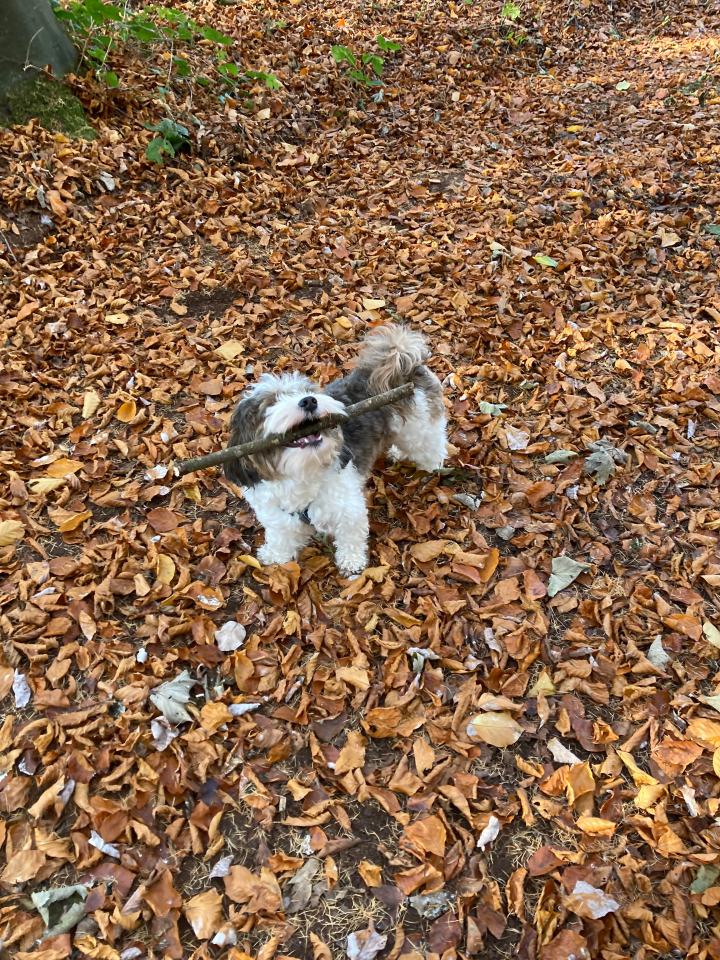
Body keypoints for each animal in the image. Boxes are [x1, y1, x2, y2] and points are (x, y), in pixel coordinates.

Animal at [225, 322, 448, 576]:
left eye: (306, 391)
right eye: (270, 403)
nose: (309, 401)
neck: (301, 473)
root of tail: (402, 364)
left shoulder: (348, 509)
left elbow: (351, 535)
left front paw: (351, 561)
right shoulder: (277, 515)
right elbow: (281, 536)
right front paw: (276, 554)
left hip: (419, 429)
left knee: (432, 446)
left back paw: (432, 467)